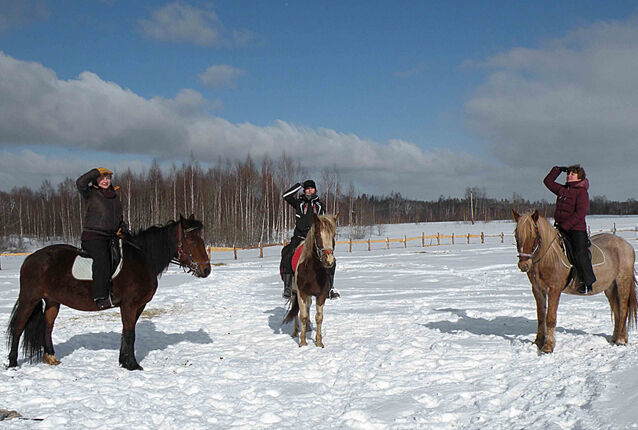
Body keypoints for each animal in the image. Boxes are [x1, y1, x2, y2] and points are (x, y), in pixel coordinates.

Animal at [6, 215, 212, 370]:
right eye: (191, 240)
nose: (206, 270)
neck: (143, 259)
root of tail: (30, 259)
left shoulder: (138, 306)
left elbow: (127, 331)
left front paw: (123, 361)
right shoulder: (129, 304)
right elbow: (130, 334)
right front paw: (132, 365)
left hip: (52, 301)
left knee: (48, 327)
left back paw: (50, 357)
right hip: (29, 299)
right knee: (18, 327)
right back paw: (13, 363)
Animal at [284, 213, 340, 348]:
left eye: (333, 235)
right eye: (318, 235)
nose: (329, 261)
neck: (313, 270)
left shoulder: (321, 295)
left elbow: (319, 317)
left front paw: (319, 342)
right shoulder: (302, 293)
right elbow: (303, 315)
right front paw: (303, 342)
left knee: (308, 307)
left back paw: (308, 327)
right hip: (294, 292)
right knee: (296, 311)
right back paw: (295, 332)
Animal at [516, 209, 638, 352]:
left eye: (532, 235)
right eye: (516, 235)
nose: (523, 265)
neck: (549, 257)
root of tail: (627, 245)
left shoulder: (554, 290)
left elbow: (550, 318)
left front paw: (548, 346)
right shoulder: (537, 290)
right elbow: (541, 316)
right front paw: (538, 342)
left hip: (622, 281)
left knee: (623, 309)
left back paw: (621, 340)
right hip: (610, 287)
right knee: (617, 310)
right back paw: (616, 338)